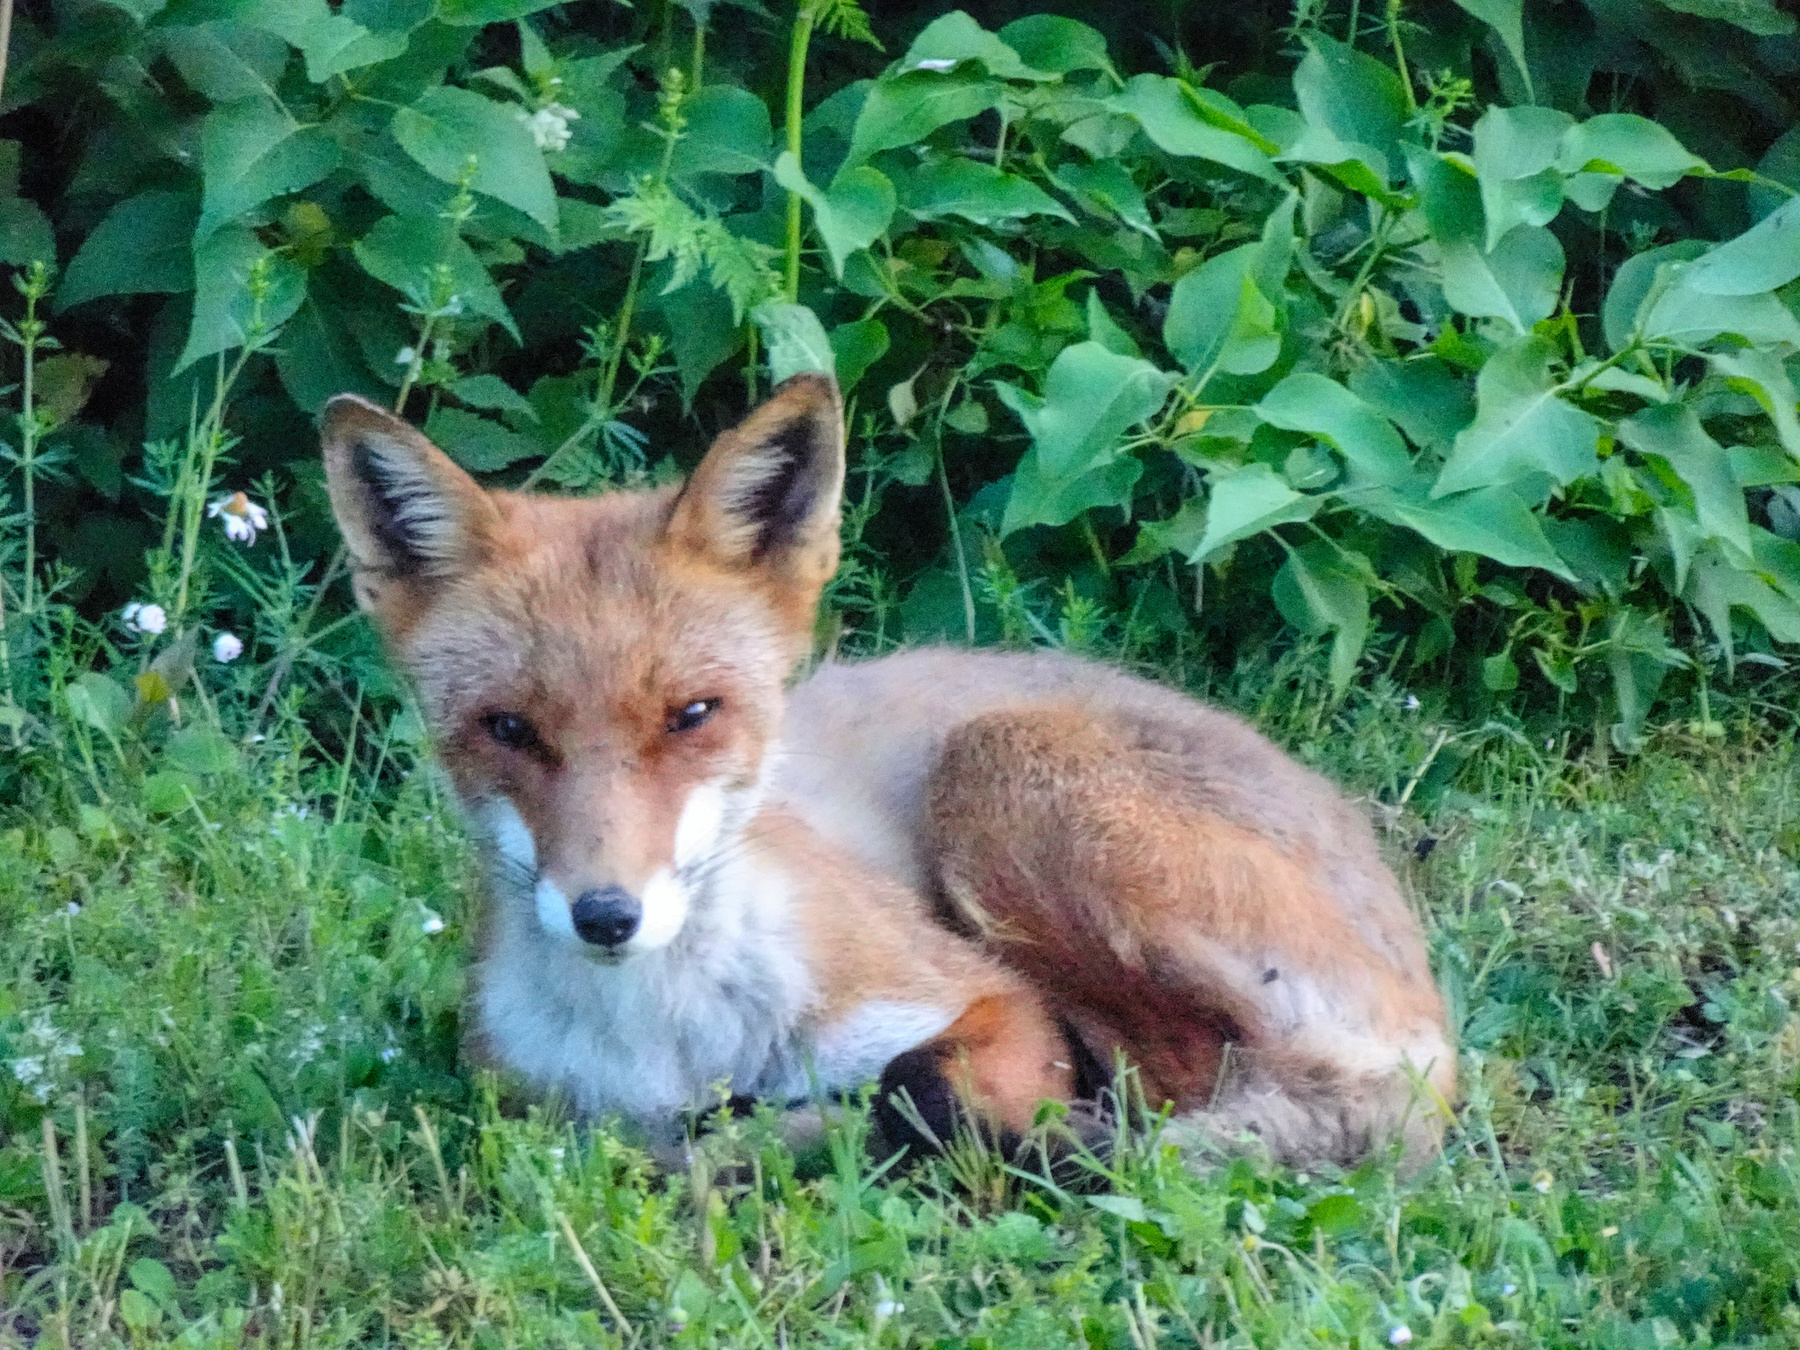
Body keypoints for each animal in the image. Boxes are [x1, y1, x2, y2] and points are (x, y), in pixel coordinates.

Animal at [320, 372, 1455, 1171]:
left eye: (694, 715)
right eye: (509, 729)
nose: (607, 915)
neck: (675, 1041)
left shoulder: (995, 1007)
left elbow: (918, 1088)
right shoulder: (529, 1103)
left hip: (998, 773)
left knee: (1224, 1095)